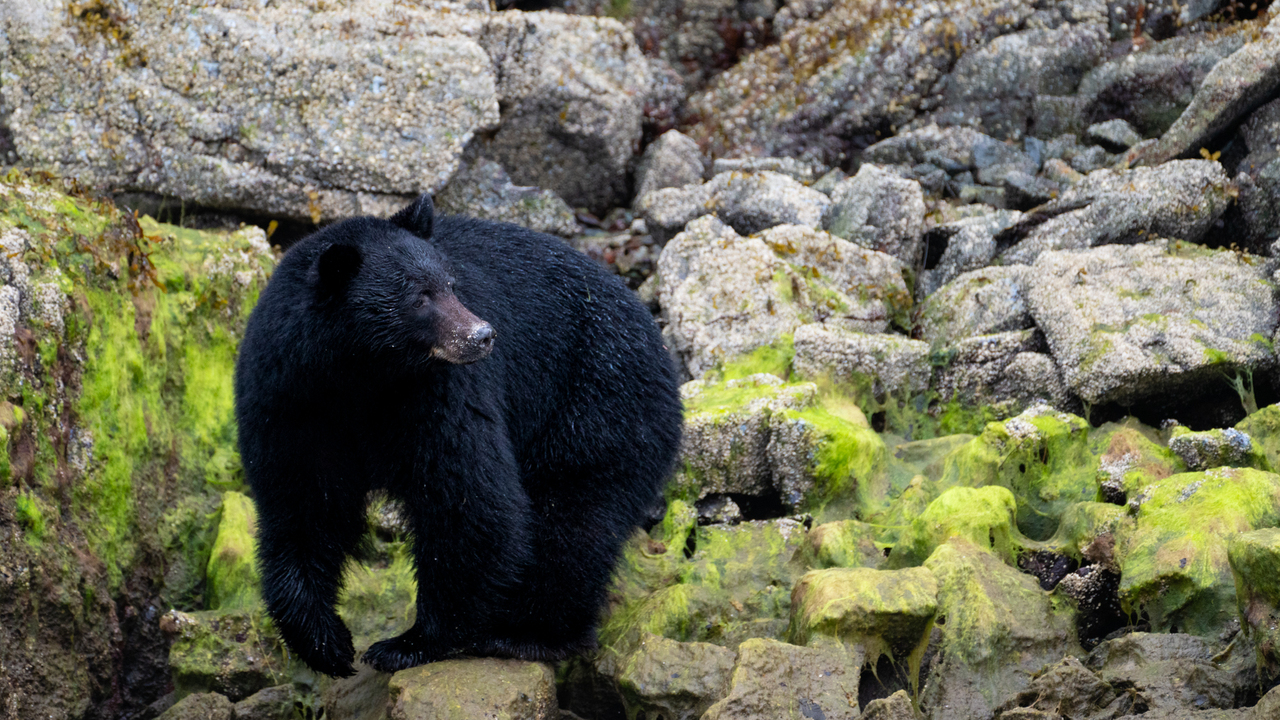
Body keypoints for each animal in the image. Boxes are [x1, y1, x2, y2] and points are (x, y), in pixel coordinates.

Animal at [233, 195, 684, 677]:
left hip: (596, 400)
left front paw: (411, 642)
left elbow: (468, 497)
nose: (482, 335)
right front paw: (326, 644)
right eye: (420, 296)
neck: (358, 379)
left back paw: (529, 633)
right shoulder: (290, 404)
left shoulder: (437, 392)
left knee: (574, 517)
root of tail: (658, 338)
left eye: (451, 284)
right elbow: (305, 507)